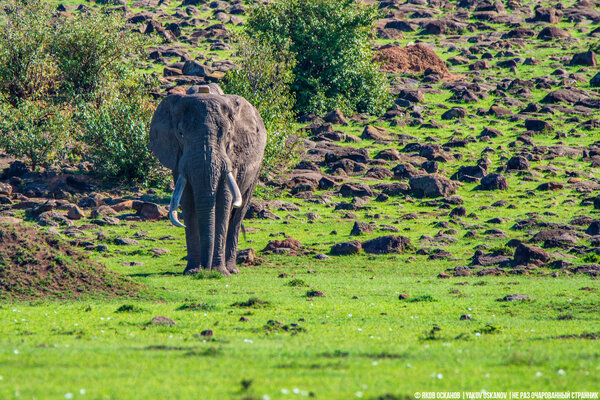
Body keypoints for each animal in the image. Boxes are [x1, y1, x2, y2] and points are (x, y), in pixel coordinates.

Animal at [149, 86, 266, 276]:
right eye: (180, 134)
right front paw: (192, 271)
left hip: (256, 168)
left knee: (238, 215)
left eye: (228, 134)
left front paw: (220, 272)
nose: (206, 268)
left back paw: (232, 269)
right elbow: (188, 201)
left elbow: (224, 202)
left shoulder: (232, 157)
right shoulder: (178, 159)